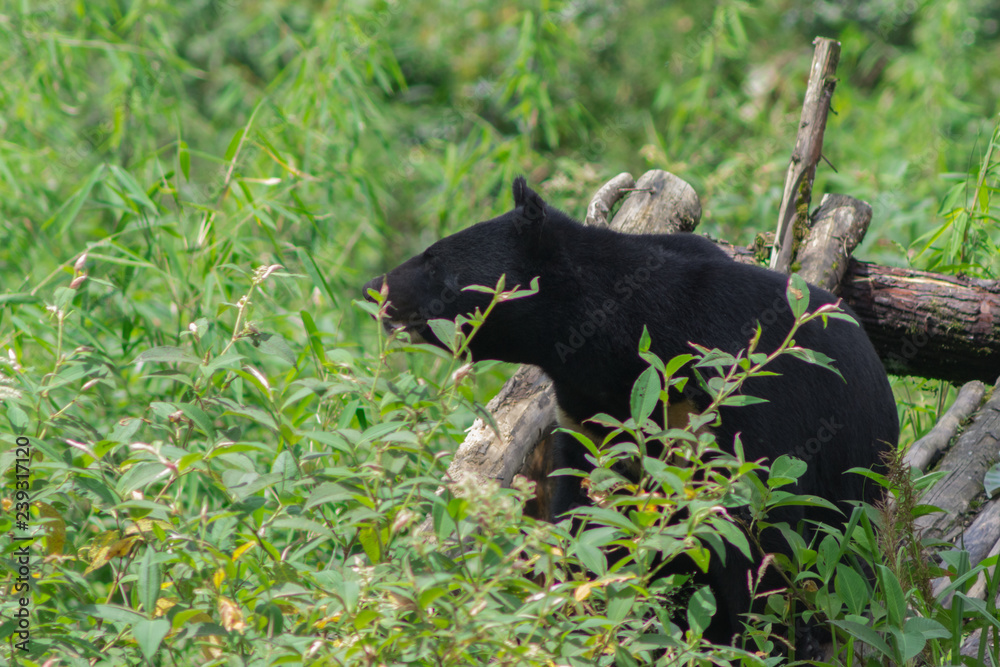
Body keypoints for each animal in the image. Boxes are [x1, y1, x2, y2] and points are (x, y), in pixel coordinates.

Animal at [363, 177, 898, 653]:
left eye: (434, 259)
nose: (372, 288)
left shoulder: (742, 399)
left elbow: (760, 526)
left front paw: (756, 640)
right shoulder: (587, 412)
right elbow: (586, 506)